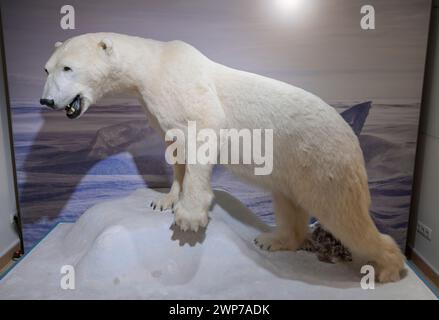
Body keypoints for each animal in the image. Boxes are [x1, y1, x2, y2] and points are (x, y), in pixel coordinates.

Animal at [41, 33, 406, 282]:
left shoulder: (192, 94)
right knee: (289, 202)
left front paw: (189, 216)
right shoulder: (161, 109)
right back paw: (272, 240)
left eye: (68, 67)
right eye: (46, 69)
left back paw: (386, 268)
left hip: (322, 161)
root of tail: (351, 138)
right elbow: (177, 152)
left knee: (343, 214)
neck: (154, 67)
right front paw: (165, 200)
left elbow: (204, 130)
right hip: (295, 166)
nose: (45, 101)